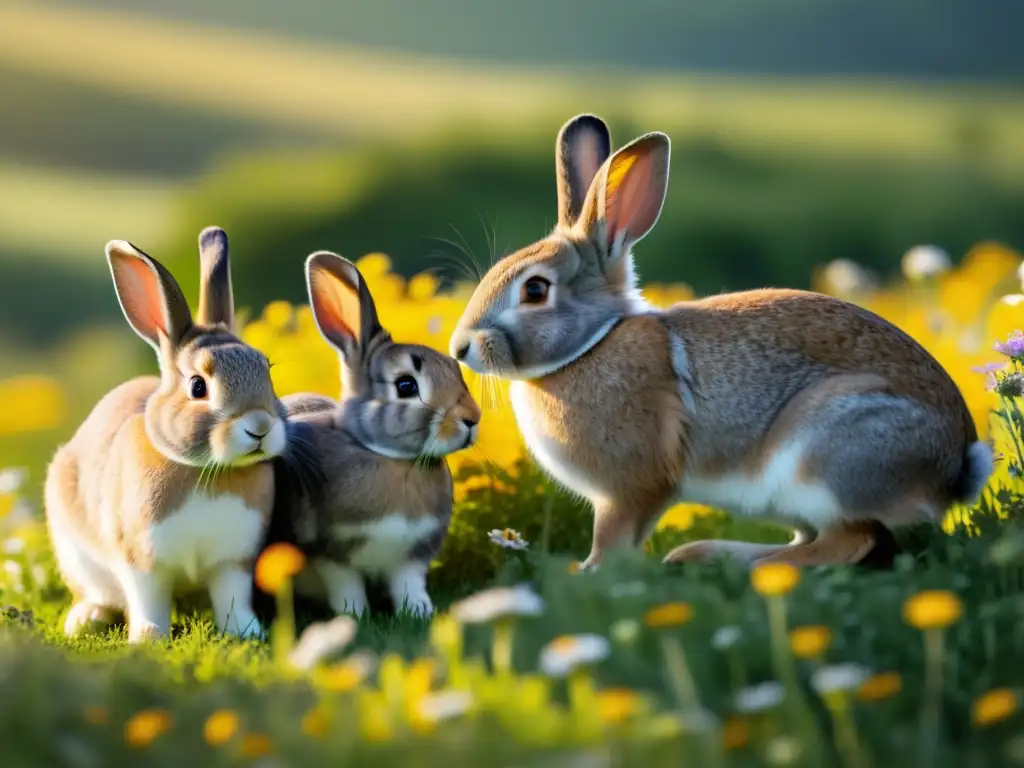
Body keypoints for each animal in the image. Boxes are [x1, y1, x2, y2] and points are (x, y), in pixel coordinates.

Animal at [45, 228, 288, 643]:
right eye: (197, 386)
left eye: (267, 368)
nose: (260, 427)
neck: (207, 470)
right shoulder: (141, 559)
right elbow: (149, 599)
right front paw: (148, 638)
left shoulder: (234, 561)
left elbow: (233, 597)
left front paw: (246, 632)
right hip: (76, 554)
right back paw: (85, 619)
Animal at [264, 252, 479, 618]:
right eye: (406, 385)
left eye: (454, 369)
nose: (472, 419)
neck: (385, 455)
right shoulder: (330, 555)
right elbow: (346, 587)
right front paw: (354, 616)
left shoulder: (412, 556)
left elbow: (409, 585)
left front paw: (420, 612)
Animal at [448, 112, 991, 573]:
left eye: (535, 290)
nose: (461, 348)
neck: (593, 343)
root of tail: (956, 465)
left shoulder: (629, 489)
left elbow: (613, 540)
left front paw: (587, 573)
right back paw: (708, 554)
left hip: (824, 456)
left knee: (852, 540)